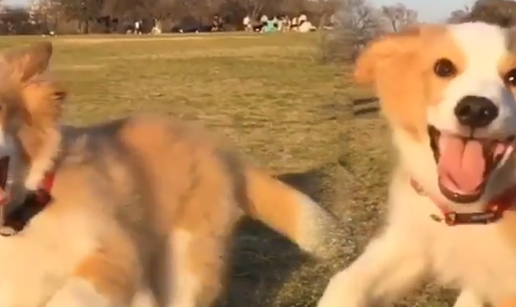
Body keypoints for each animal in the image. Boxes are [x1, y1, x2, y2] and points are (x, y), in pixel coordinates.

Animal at [318, 21, 516, 307]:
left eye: (514, 76)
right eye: (443, 68)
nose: (477, 110)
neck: (468, 214)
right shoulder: (412, 242)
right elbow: (345, 282)